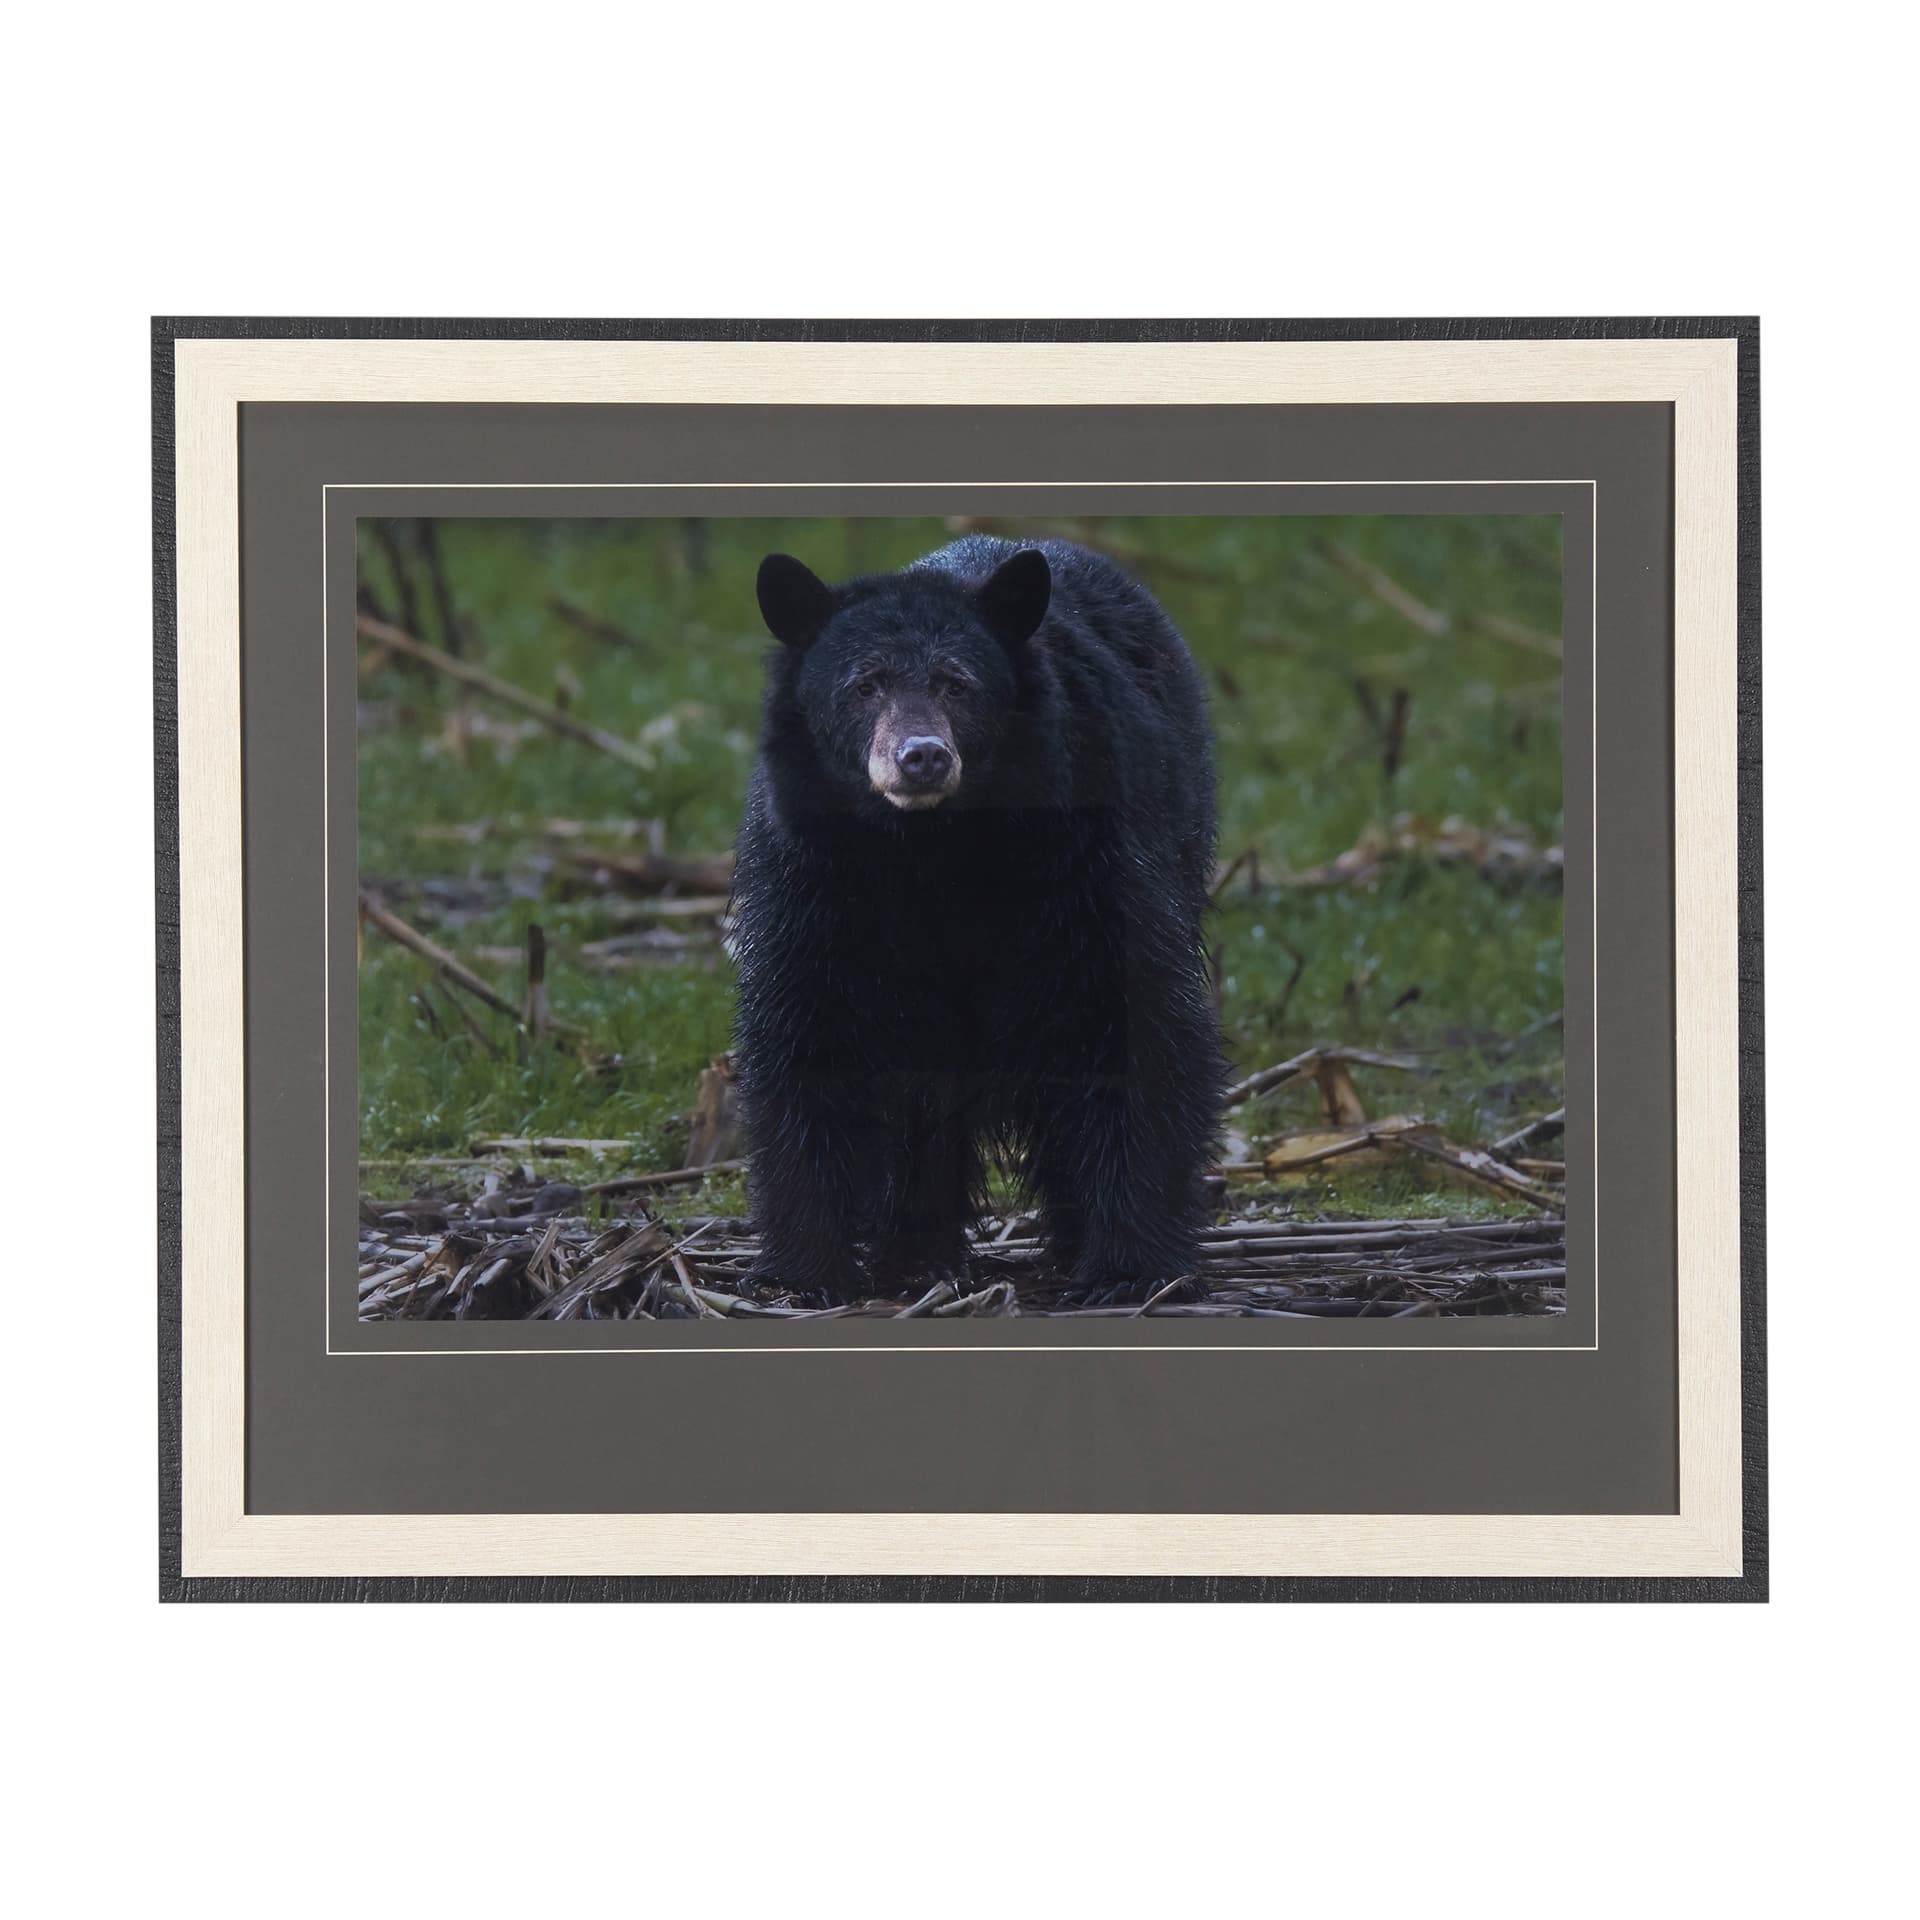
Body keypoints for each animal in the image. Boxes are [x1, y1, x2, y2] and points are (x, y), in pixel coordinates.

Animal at [729, 534, 1225, 1304]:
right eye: (865, 684)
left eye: (956, 684)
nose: (922, 757)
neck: (933, 851)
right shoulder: (811, 883)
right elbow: (807, 1035)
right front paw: (803, 1272)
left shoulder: (1089, 859)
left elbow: (1134, 1028)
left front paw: (1129, 1268)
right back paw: (919, 1255)